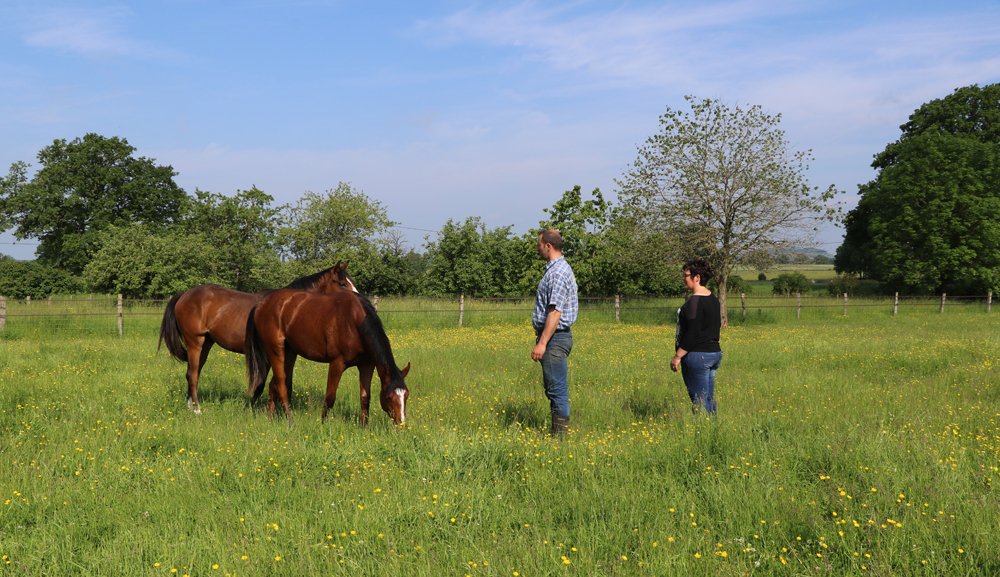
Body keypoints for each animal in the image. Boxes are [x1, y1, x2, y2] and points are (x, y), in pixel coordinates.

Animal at [158, 262, 357, 413]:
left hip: (206, 343)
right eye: (342, 283)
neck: (289, 306)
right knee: (193, 375)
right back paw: (197, 409)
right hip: (195, 342)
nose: (358, 300)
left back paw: (190, 406)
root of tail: (184, 295)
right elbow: (265, 383)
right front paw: (253, 408)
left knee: (192, 373)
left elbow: (284, 382)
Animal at [244, 289, 411, 425]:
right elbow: (330, 397)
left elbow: (365, 397)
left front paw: (364, 427)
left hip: (290, 353)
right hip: (276, 351)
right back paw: (290, 421)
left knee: (274, 385)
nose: (400, 423)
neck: (355, 321)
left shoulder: (367, 365)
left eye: (406, 395)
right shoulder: (337, 363)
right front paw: (324, 425)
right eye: (389, 397)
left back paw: (270, 418)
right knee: (281, 385)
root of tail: (261, 304)